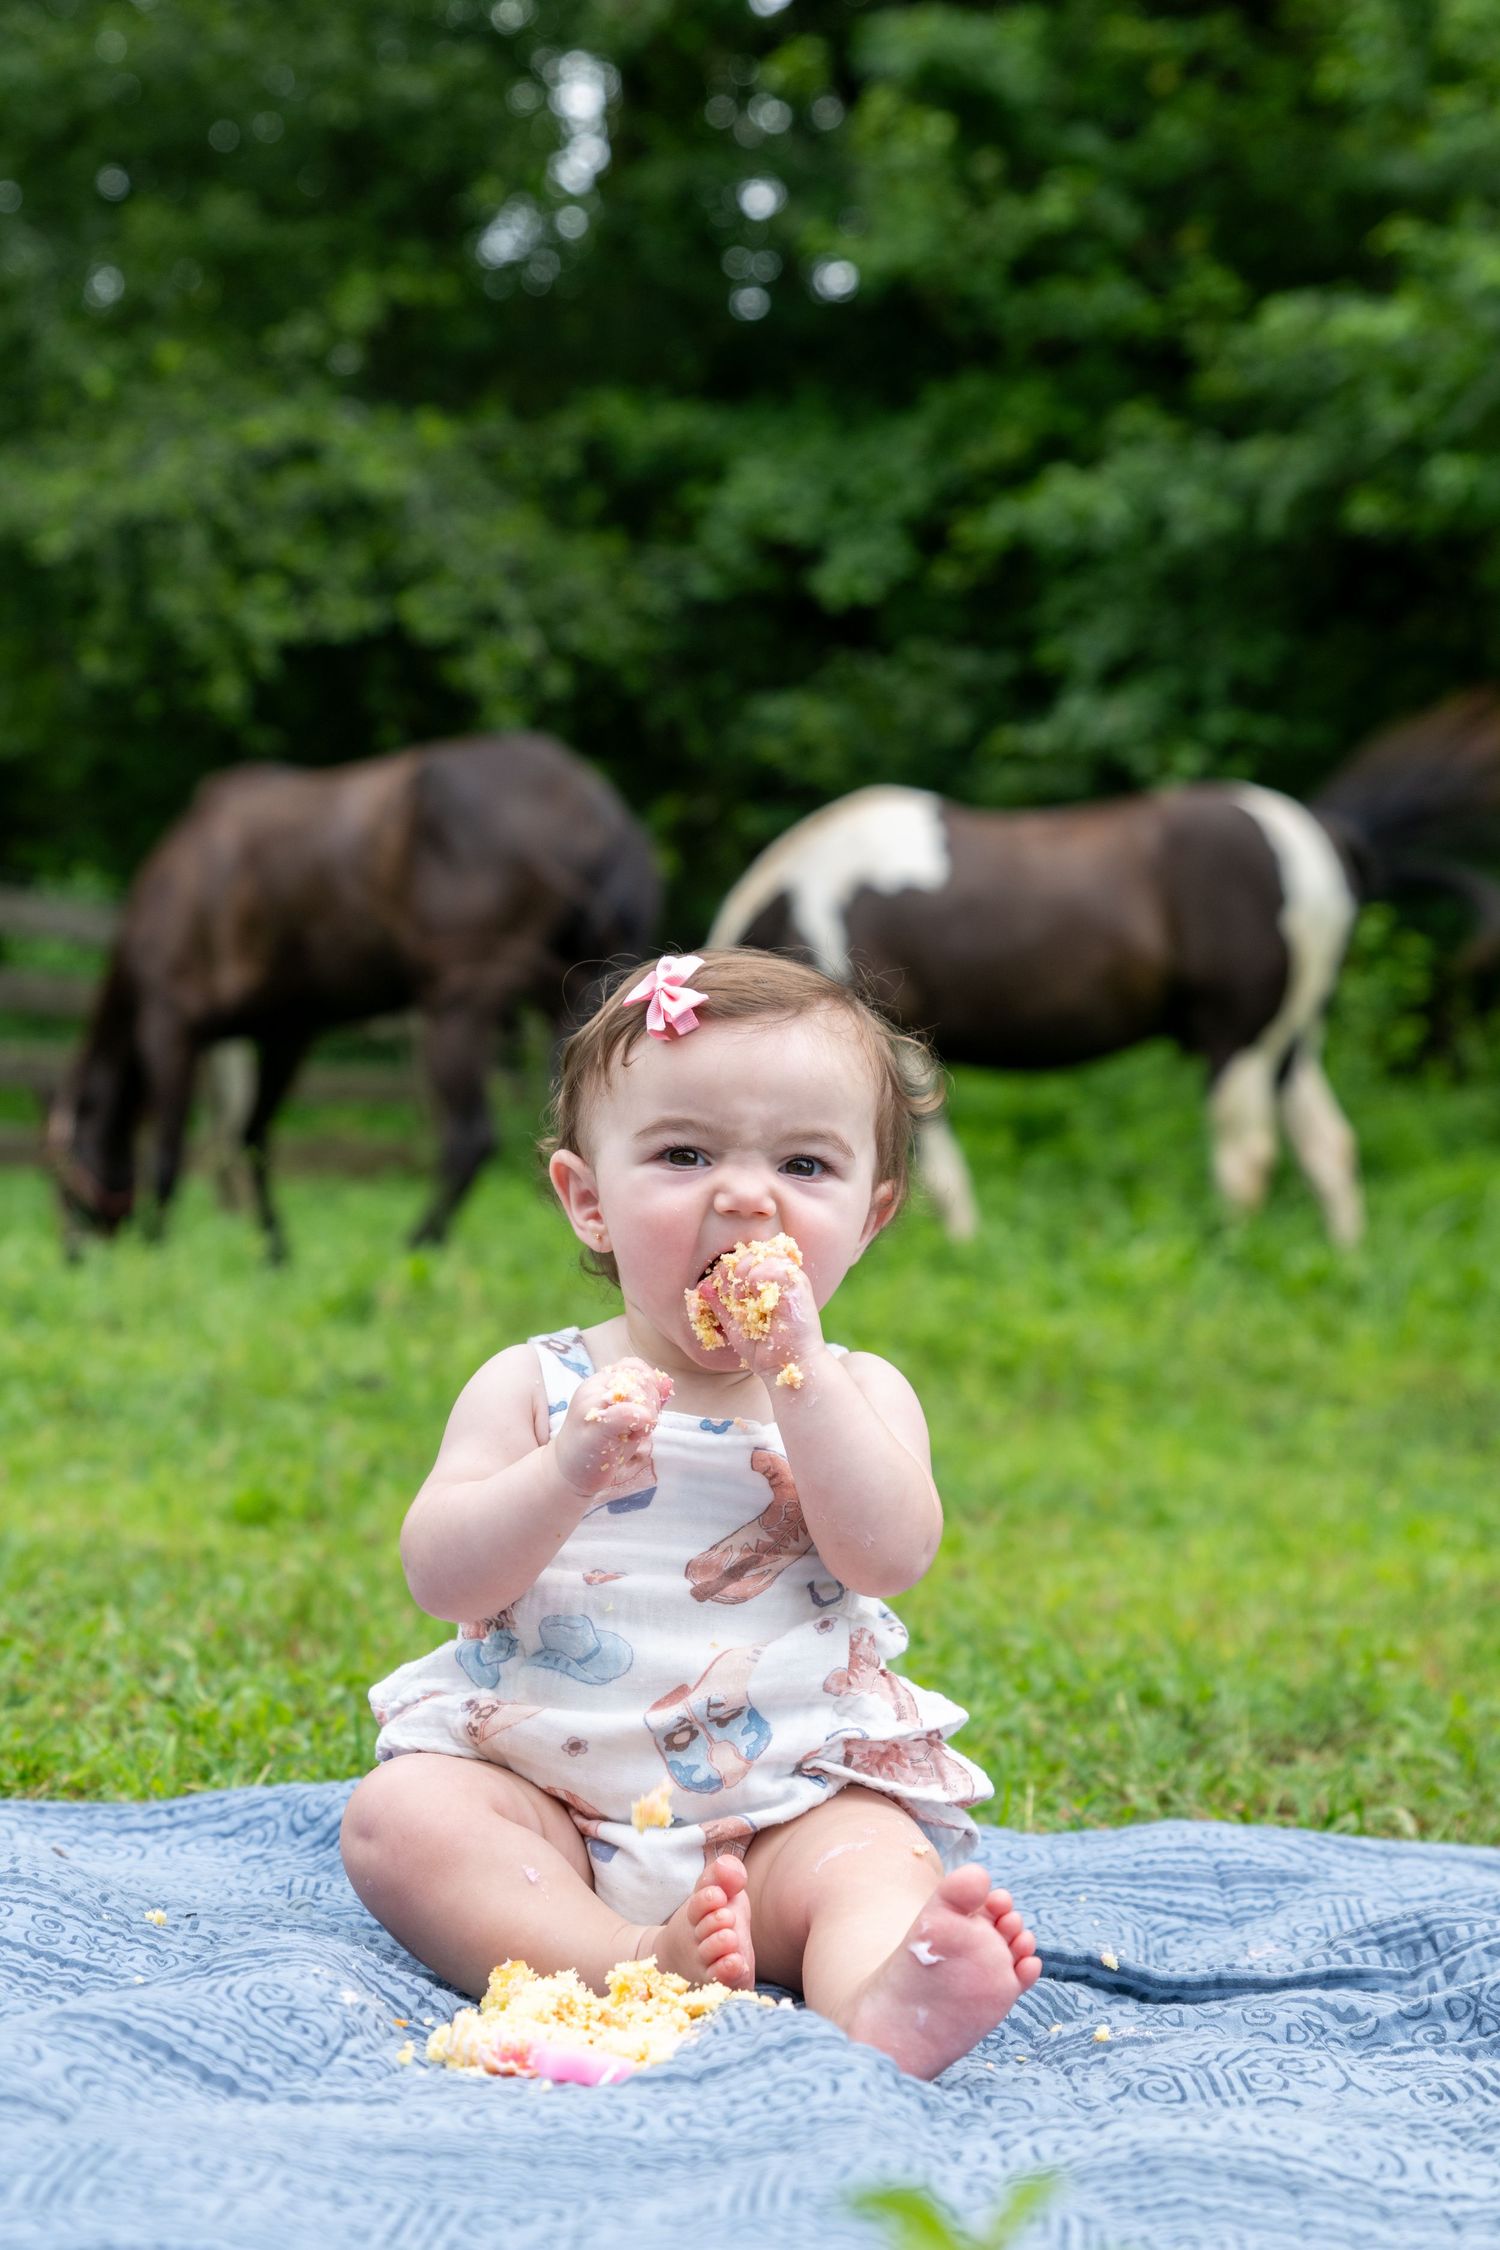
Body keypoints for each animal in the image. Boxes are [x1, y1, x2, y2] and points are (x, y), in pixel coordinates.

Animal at [49, 731, 660, 1257]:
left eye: (61, 1168)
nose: (73, 1254)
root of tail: (598, 810)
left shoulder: (171, 1023)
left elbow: (169, 1151)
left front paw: (155, 1246)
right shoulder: (285, 1033)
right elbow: (252, 1138)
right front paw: (274, 1249)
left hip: (458, 1006)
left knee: (469, 1137)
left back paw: (418, 1242)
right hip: (569, 1003)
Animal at [706, 693, 1500, 1245]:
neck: (805, 901)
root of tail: (1321, 837)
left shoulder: (897, 1045)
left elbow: (932, 1163)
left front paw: (964, 1243)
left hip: (1240, 1042)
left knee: (1248, 1157)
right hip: (1290, 1041)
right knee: (1329, 1147)